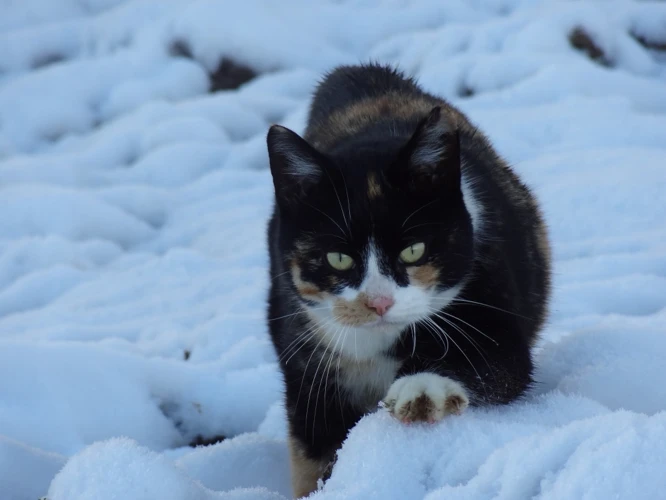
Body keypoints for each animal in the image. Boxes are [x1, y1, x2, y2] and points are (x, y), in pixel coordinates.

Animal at [264, 64, 548, 498]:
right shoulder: (303, 366)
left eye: (413, 250)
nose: (378, 302)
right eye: (338, 257)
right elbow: (313, 455)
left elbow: (496, 365)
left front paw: (421, 391)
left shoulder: (493, 306)